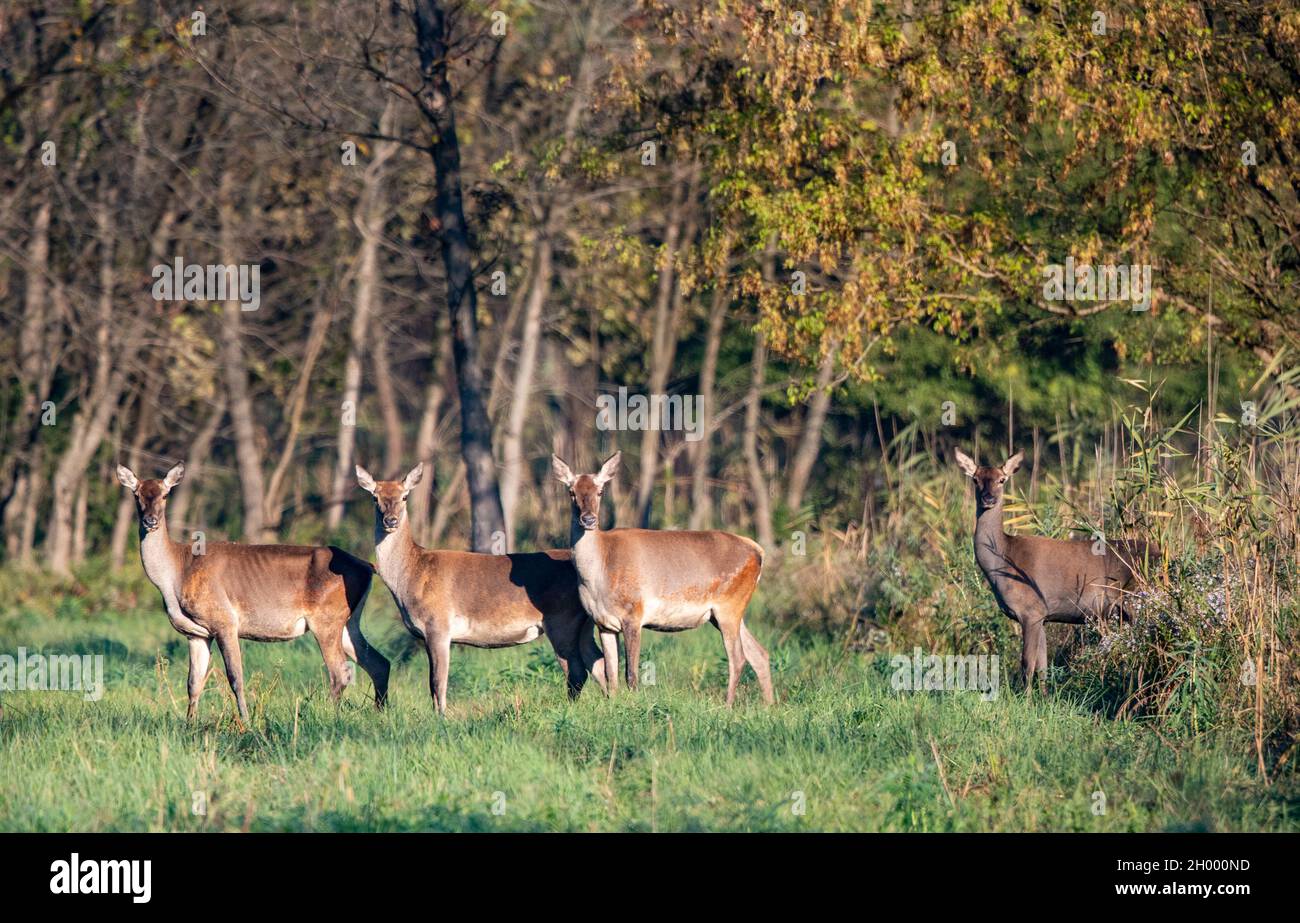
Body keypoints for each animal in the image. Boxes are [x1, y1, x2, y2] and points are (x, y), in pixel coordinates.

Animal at [115, 465, 390, 728]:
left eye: (165, 494)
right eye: (137, 494)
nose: (150, 521)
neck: (176, 574)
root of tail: (368, 566)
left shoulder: (225, 621)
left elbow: (235, 677)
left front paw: (246, 721)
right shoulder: (195, 634)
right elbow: (193, 682)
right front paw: (189, 725)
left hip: (326, 619)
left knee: (340, 672)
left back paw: (332, 718)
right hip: (348, 622)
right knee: (379, 663)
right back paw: (380, 713)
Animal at [351, 462, 603, 717]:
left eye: (404, 496)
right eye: (375, 497)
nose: (390, 521)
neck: (412, 575)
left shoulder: (438, 625)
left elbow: (438, 681)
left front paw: (441, 717)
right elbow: (432, 683)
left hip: (562, 619)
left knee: (577, 670)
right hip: (583, 623)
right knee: (597, 662)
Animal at [548, 452, 769, 707]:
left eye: (600, 491)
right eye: (571, 491)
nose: (588, 519)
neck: (597, 578)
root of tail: (758, 551)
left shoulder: (633, 614)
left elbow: (630, 673)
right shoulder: (603, 622)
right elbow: (610, 672)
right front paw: (613, 703)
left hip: (729, 606)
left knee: (738, 657)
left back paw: (727, 706)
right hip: (728, 612)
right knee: (760, 654)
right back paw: (769, 706)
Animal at [956, 447, 1159, 696]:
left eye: (1002, 480)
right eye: (975, 479)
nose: (988, 498)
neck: (1002, 562)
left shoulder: (1030, 610)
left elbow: (1027, 662)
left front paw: (1025, 698)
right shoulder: (1043, 615)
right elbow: (1042, 664)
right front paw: (1043, 698)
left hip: (1138, 599)